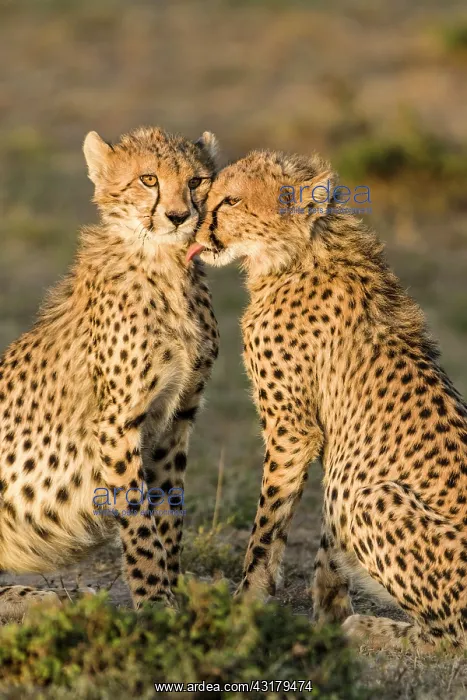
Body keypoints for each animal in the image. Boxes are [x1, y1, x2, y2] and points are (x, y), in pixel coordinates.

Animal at [0, 125, 219, 621]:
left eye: (196, 181)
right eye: (148, 179)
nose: (179, 216)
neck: (165, 267)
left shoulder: (177, 419)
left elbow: (168, 514)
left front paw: (173, 598)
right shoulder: (117, 424)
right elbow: (139, 521)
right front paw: (156, 603)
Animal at [186, 149, 467, 651]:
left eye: (232, 200)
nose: (196, 231)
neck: (297, 255)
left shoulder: (292, 431)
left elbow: (266, 531)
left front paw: (243, 606)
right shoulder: (334, 454)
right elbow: (327, 549)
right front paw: (327, 616)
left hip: (372, 498)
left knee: (453, 638)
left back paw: (372, 629)